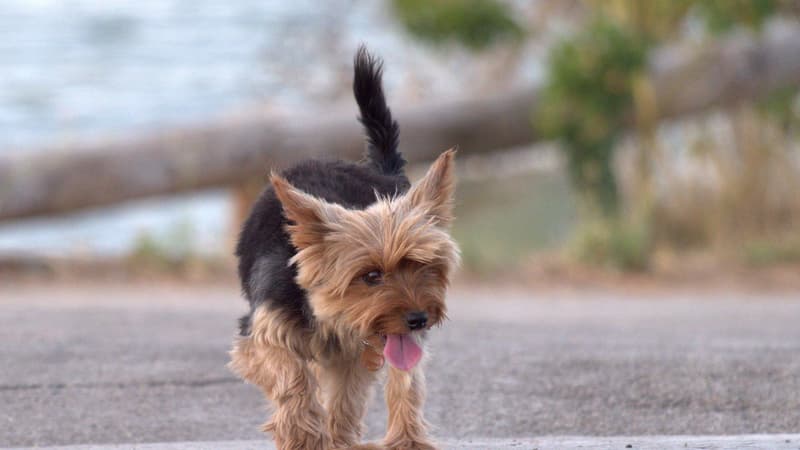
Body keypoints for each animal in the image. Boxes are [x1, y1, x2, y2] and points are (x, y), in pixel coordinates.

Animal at [228, 46, 460, 450]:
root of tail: (382, 174)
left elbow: (352, 393)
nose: (419, 318)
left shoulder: (360, 351)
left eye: (424, 266)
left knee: (403, 383)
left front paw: (335, 437)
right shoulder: (263, 333)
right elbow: (292, 374)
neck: (327, 315)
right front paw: (304, 433)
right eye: (370, 276)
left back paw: (404, 438)